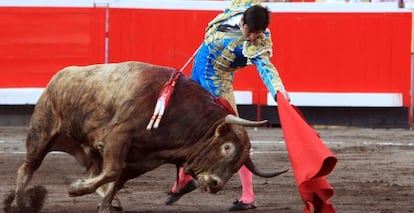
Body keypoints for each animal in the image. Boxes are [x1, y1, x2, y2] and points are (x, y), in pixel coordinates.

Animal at [4, 60, 288, 212]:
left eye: (240, 163)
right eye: (227, 147)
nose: (216, 184)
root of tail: (59, 76)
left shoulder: (146, 159)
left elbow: (116, 179)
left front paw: (106, 203)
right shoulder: (118, 137)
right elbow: (112, 172)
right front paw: (76, 189)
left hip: (84, 146)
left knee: (93, 169)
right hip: (42, 133)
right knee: (26, 168)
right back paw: (17, 202)